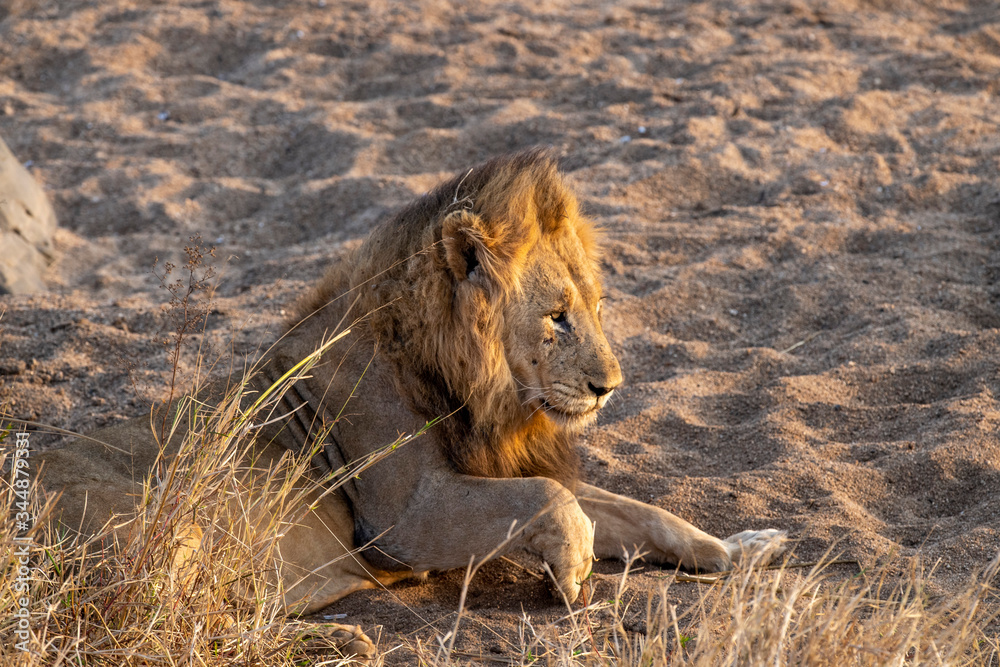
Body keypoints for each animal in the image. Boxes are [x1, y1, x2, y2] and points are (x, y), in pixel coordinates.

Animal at [39, 150, 784, 656]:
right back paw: (343, 644)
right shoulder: (405, 517)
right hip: (169, 527)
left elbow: (641, 512)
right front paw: (572, 570)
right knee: (181, 626)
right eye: (557, 317)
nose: (611, 385)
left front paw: (742, 547)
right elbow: (552, 498)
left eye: (598, 309)